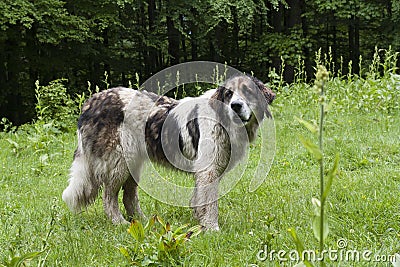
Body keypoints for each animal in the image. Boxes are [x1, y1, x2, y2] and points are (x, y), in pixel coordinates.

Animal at [62, 75, 276, 230]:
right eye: (229, 94)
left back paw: (142, 221)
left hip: (133, 165)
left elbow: (199, 200)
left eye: (247, 91)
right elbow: (210, 204)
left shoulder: (207, 172)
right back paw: (119, 222)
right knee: (109, 197)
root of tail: (90, 102)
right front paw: (211, 228)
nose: (235, 106)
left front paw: (199, 222)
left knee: (129, 196)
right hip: (119, 163)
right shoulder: (208, 171)